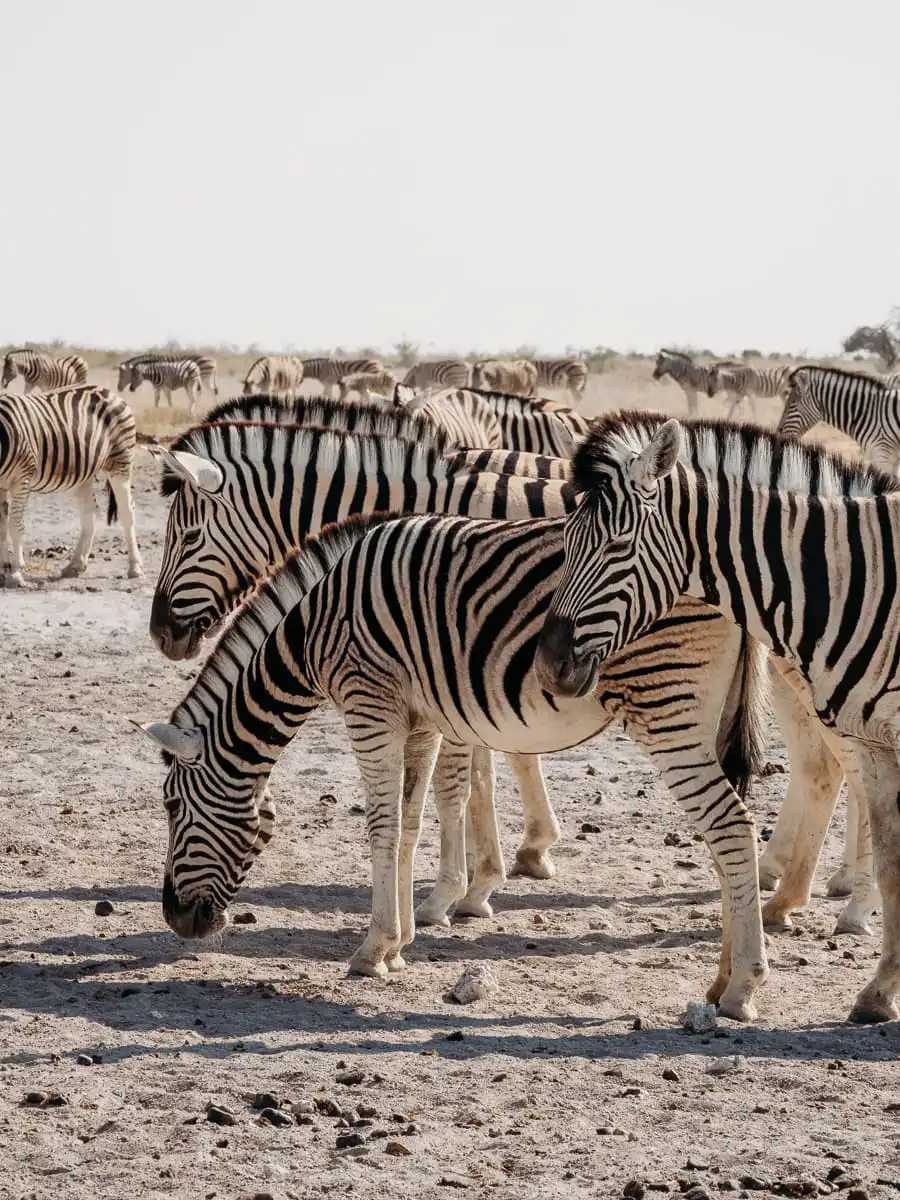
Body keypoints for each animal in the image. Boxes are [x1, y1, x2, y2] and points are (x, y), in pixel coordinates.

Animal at [0, 385, 142, 586]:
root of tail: (109, 391)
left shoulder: (22, 478)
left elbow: (14, 525)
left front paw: (15, 574)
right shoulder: (2, 485)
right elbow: (2, 526)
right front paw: (3, 569)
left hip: (120, 463)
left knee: (127, 512)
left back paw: (135, 567)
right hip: (83, 473)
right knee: (90, 512)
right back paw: (76, 565)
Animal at [534, 411, 900, 1024]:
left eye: (618, 544)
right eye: (565, 542)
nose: (548, 664)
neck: (852, 580)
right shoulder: (874, 742)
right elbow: (893, 856)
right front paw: (879, 991)